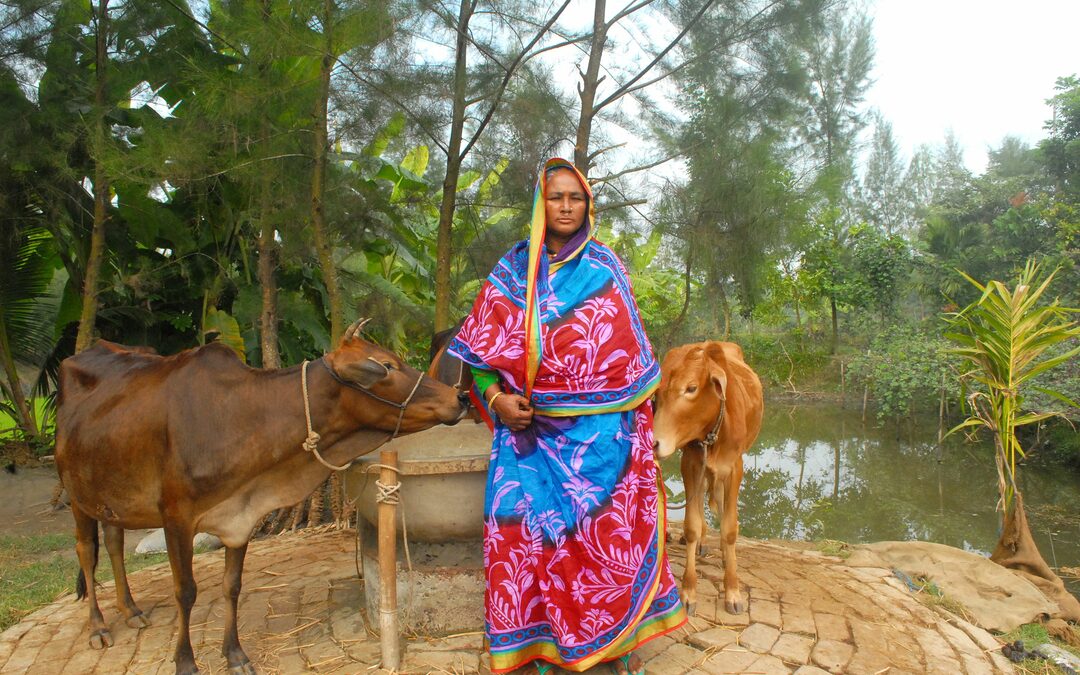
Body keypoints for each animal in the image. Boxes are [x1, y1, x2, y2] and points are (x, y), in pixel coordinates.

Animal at [55, 321, 464, 673]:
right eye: (387, 366)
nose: (458, 396)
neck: (242, 417)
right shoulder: (176, 518)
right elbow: (185, 591)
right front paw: (185, 662)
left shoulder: (240, 516)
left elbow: (231, 586)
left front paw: (235, 655)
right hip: (75, 496)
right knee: (86, 553)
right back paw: (98, 626)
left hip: (109, 497)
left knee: (113, 543)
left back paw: (131, 609)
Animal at [648, 341, 760, 617]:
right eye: (658, 394)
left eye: (691, 388)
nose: (654, 443)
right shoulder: (690, 463)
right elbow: (691, 526)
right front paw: (688, 592)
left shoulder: (734, 468)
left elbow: (730, 529)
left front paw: (733, 591)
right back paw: (703, 541)